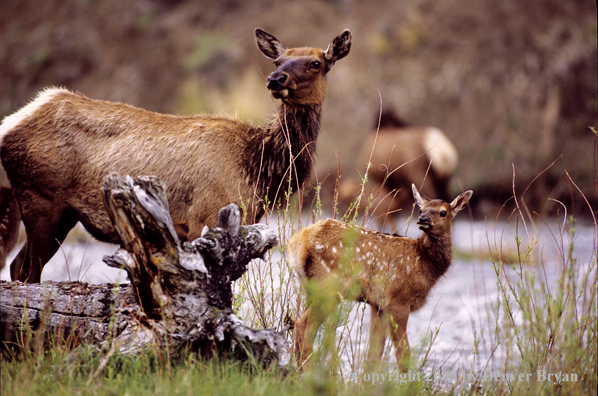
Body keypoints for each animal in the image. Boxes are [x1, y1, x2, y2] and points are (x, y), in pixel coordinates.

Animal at [0, 28, 354, 282]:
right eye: (278, 61)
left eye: (316, 63)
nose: (275, 79)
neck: (259, 171)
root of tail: (10, 123)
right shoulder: (206, 220)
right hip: (40, 200)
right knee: (25, 270)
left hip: (63, 213)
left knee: (18, 267)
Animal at [288, 185, 476, 368]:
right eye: (421, 209)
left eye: (443, 212)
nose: (423, 219)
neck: (424, 263)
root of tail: (298, 241)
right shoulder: (398, 302)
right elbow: (403, 353)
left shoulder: (378, 305)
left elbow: (374, 352)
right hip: (328, 287)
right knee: (305, 327)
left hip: (314, 289)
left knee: (300, 326)